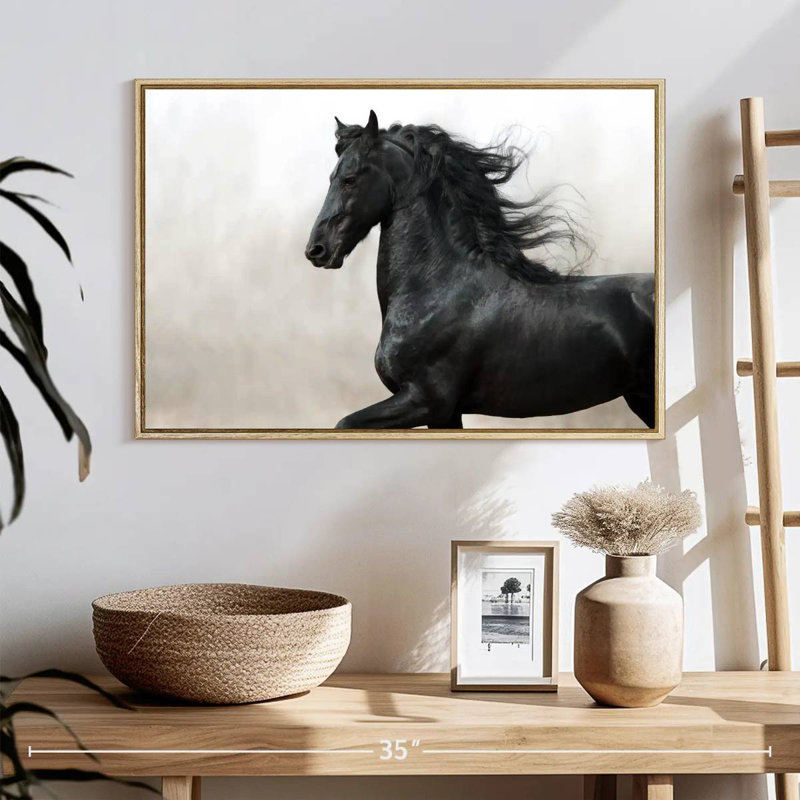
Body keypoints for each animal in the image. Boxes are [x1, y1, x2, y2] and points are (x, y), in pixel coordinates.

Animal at [305, 110, 655, 430]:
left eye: (349, 179)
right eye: (332, 178)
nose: (316, 250)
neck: (439, 288)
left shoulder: (426, 402)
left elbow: (344, 423)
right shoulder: (445, 415)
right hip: (640, 397)